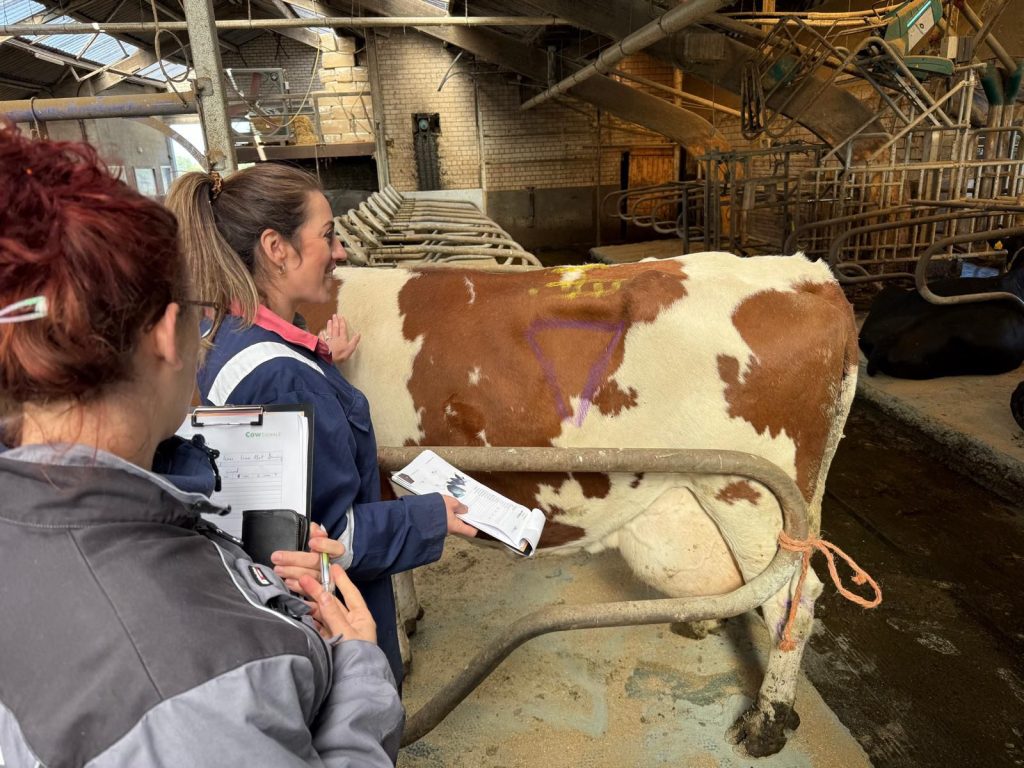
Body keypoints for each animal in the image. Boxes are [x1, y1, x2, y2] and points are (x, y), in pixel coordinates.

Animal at [311, 252, 859, 757]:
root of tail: (813, 277)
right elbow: (397, 566)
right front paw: (408, 618)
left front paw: (396, 658)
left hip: (753, 497)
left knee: (792, 602)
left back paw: (767, 722)